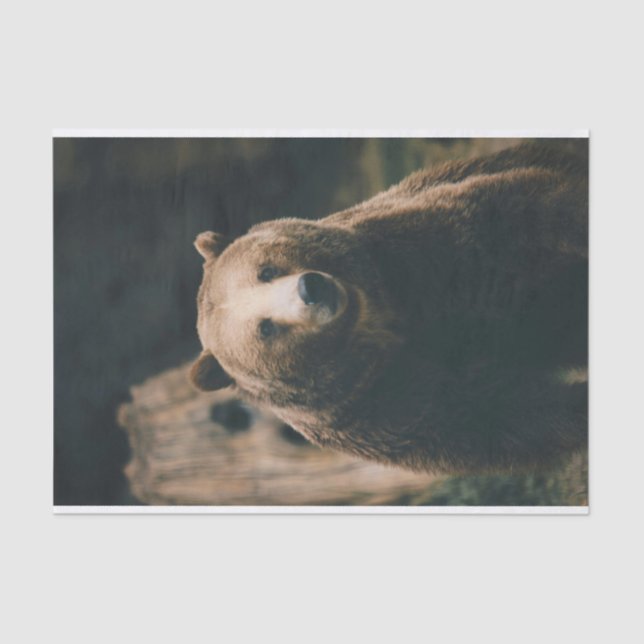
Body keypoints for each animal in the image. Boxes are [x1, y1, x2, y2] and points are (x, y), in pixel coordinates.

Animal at [189, 141, 588, 473]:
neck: (382, 318)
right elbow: (497, 418)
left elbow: (528, 211)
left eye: (266, 271)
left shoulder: (423, 248)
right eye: (266, 328)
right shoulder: (382, 406)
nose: (311, 287)